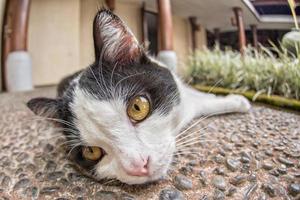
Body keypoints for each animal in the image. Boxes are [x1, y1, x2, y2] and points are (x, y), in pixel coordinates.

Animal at [27, 9, 250, 184]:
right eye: (91, 151)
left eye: (137, 107)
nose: (138, 165)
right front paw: (235, 100)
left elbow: (198, 98)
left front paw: (235, 100)